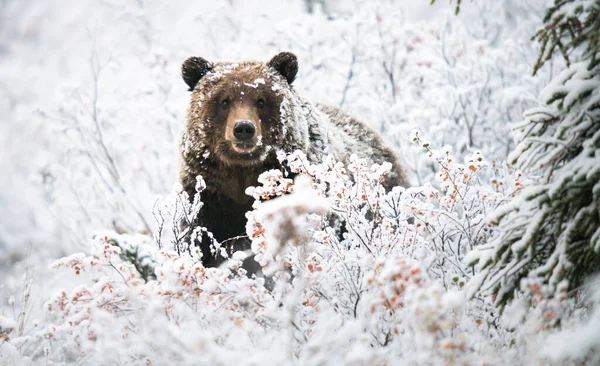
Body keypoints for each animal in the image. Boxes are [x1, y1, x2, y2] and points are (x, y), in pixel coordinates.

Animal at [179, 52, 408, 268]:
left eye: (261, 100)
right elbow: (198, 240)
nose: (244, 128)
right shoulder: (208, 196)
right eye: (224, 101)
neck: (243, 171)